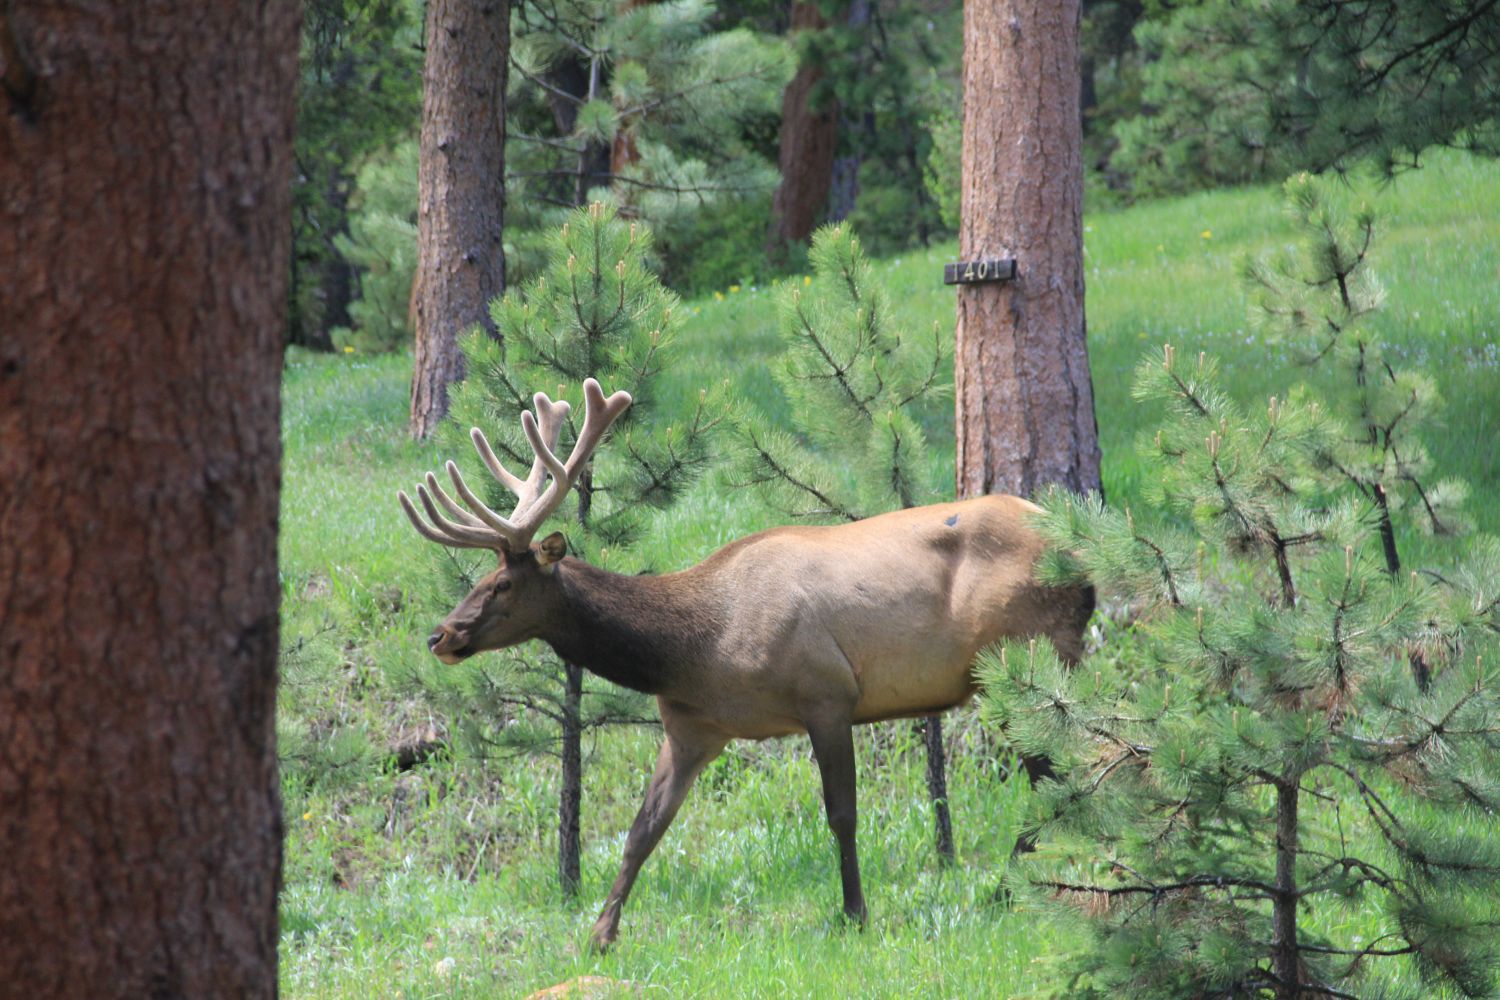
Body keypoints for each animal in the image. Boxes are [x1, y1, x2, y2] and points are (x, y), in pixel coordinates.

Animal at [402, 377, 1092, 953]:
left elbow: (842, 814)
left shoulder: (827, 693)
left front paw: (854, 914)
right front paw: (600, 935)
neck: (694, 649)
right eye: (479, 576)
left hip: (1025, 658)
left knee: (1060, 770)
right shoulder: (692, 729)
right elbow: (642, 829)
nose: (440, 635)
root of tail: (1085, 566)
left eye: (502, 584)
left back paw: (1011, 888)